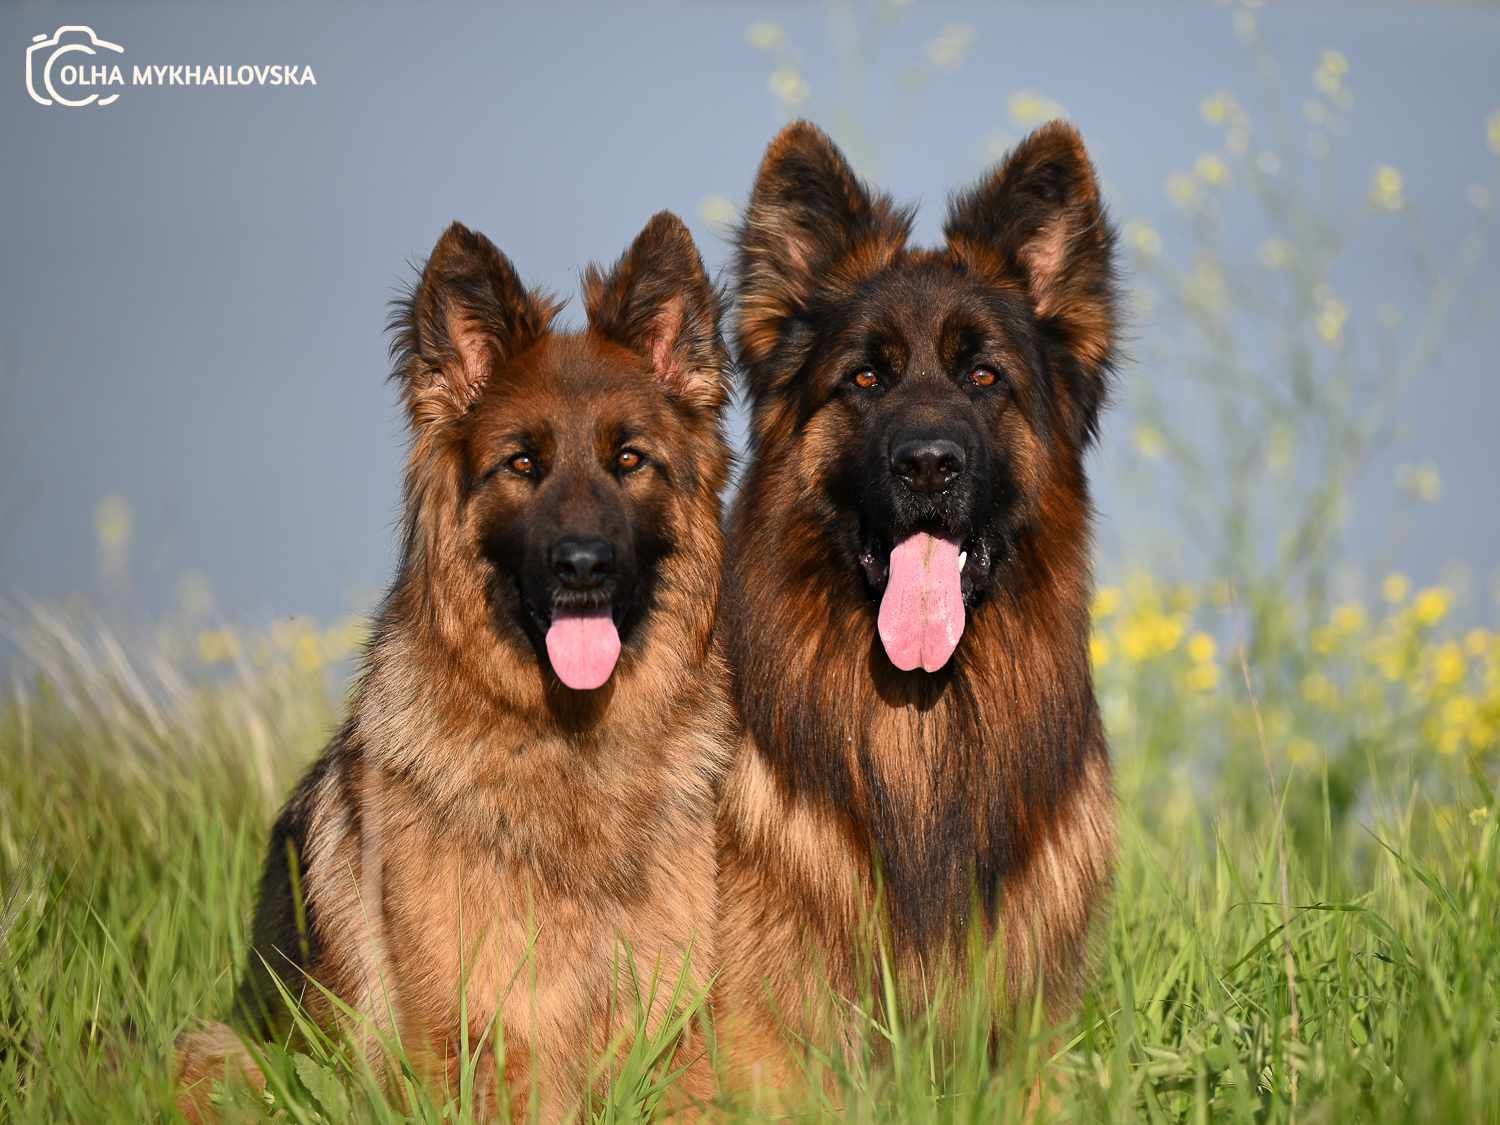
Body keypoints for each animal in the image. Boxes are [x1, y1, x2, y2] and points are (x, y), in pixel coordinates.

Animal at [175, 211, 732, 1122]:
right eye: (522, 463)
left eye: (629, 460)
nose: (584, 566)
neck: (568, 744)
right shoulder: (485, 1039)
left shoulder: (672, 1030)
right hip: (222, 1054)